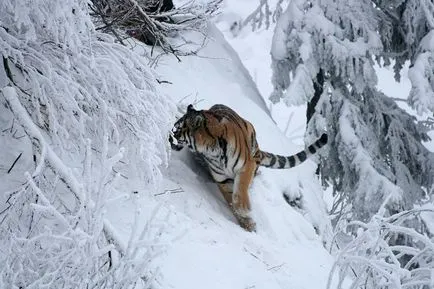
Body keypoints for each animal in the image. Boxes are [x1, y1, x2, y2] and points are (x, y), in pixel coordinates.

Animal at [168, 103, 328, 232]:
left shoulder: (245, 167)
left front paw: (245, 210)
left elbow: (239, 191)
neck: (211, 150)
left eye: (178, 128)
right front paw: (247, 223)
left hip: (252, 154)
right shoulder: (222, 179)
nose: (170, 135)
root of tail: (258, 150)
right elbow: (231, 198)